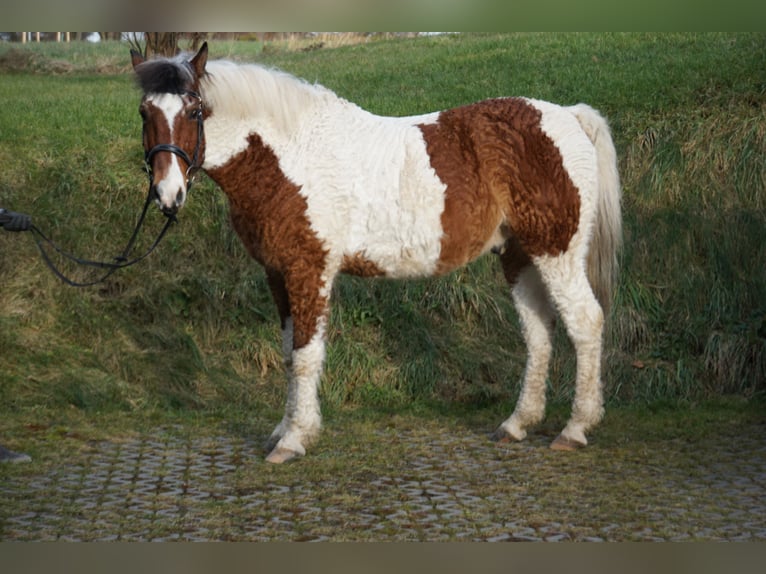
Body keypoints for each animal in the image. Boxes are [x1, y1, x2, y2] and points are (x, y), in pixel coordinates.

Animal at [134, 42, 624, 466]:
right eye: (144, 112)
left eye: (195, 111)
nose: (168, 194)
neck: (288, 154)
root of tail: (569, 117)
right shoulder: (277, 274)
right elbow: (289, 353)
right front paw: (283, 429)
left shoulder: (309, 269)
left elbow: (307, 355)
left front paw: (294, 439)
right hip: (519, 256)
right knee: (539, 332)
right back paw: (517, 423)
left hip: (556, 252)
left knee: (585, 322)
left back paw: (575, 429)